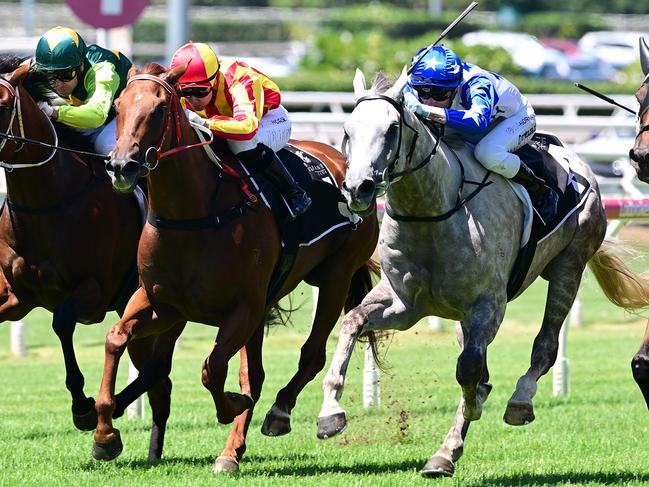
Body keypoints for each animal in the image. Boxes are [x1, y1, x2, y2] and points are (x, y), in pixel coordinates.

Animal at [0, 57, 176, 462]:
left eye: (1, 103)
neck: (47, 201)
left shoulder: (93, 292)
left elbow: (62, 323)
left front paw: (82, 406)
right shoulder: (16, 296)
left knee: (158, 370)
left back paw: (110, 425)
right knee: (160, 383)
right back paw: (151, 451)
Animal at [93, 62, 380, 472]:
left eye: (161, 108)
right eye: (118, 106)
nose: (121, 166)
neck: (194, 215)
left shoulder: (242, 308)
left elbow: (212, 369)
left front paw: (231, 407)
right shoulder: (162, 304)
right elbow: (116, 339)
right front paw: (104, 433)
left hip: (336, 277)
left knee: (310, 354)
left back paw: (284, 414)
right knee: (253, 374)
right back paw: (231, 451)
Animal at [316, 67, 648, 476]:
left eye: (392, 128)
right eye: (347, 130)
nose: (358, 188)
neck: (431, 213)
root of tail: (577, 161)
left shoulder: (487, 305)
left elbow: (470, 371)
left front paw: (472, 410)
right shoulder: (403, 305)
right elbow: (352, 323)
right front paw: (330, 413)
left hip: (569, 265)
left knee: (545, 345)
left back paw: (516, 403)